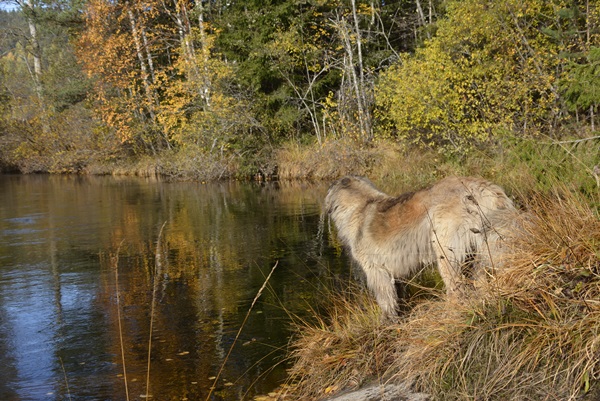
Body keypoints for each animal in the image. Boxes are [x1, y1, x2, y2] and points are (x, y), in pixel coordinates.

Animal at [326, 175, 516, 316]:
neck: (361, 206)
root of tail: (483, 188)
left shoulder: (376, 271)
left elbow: (385, 299)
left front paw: (387, 322)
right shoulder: (396, 274)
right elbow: (399, 295)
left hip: (446, 250)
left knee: (456, 287)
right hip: (479, 250)